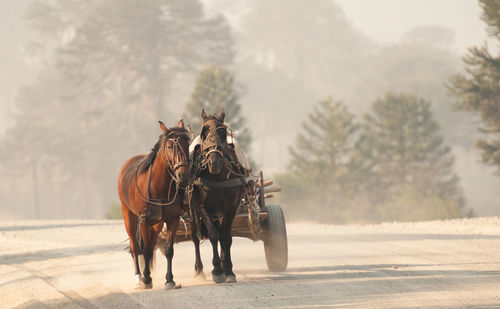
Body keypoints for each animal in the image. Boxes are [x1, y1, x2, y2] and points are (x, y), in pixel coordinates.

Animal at [117, 118, 189, 288]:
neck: (158, 186)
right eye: (169, 146)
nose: (183, 174)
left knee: (150, 243)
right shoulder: (144, 220)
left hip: (156, 224)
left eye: (187, 143)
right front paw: (146, 278)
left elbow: (168, 249)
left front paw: (169, 280)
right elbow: (145, 250)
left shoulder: (172, 219)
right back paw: (139, 276)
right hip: (128, 215)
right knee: (135, 246)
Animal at [190, 109, 247, 282]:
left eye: (222, 132)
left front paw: (228, 270)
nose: (213, 162)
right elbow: (214, 235)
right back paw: (199, 270)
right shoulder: (203, 207)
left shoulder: (231, 208)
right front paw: (217, 270)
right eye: (204, 131)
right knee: (195, 237)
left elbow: (226, 237)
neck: (218, 177)